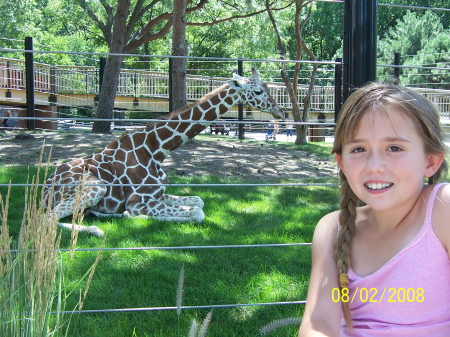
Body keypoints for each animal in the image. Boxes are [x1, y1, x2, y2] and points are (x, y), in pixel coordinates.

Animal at [45, 68, 284, 236]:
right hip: (95, 186)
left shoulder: (159, 195)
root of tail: (45, 188)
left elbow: (199, 201)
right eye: (258, 91)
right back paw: (96, 230)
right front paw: (129, 215)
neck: (157, 149)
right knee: (47, 220)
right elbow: (197, 213)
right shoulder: (139, 201)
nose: (280, 111)